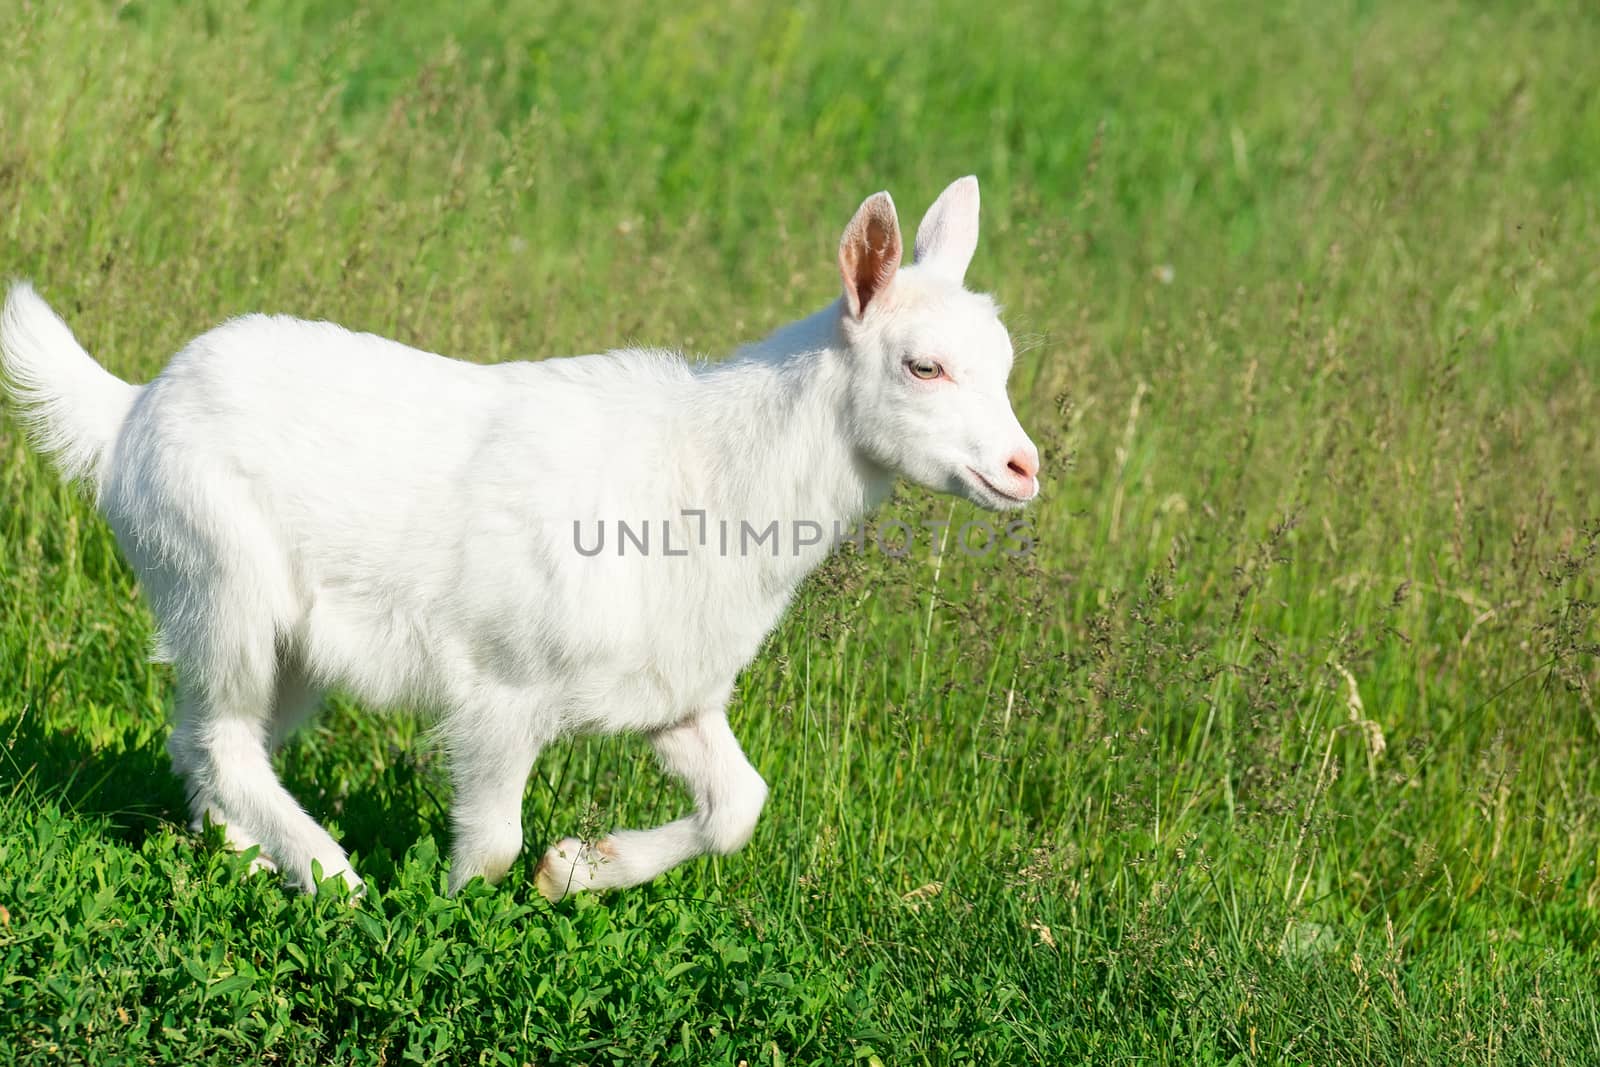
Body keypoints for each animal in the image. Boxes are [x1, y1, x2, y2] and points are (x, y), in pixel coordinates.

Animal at [0, 177, 1036, 902]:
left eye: (1005, 363)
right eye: (924, 367)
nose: (1024, 469)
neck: (709, 475)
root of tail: (127, 413)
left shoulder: (675, 693)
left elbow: (739, 805)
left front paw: (577, 868)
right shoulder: (502, 686)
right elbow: (492, 844)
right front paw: (456, 921)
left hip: (278, 639)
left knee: (206, 739)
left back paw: (255, 866)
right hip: (221, 578)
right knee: (219, 740)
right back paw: (335, 880)